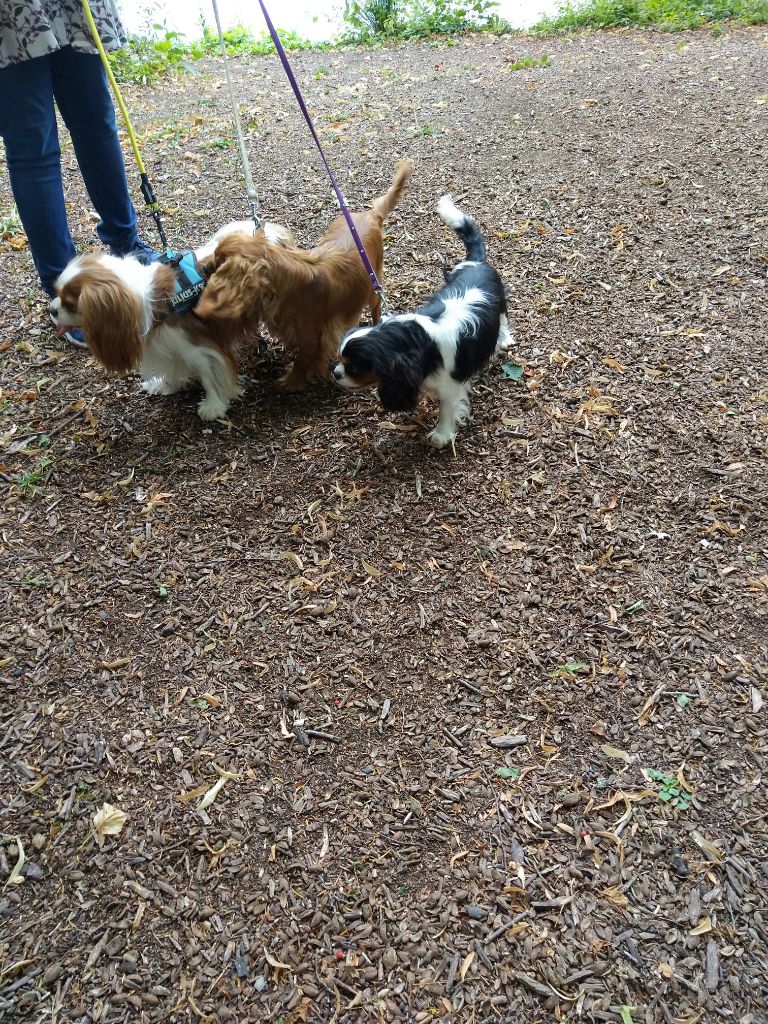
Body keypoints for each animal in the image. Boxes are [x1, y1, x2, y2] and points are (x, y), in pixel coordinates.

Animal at [48, 221, 292, 419]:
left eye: (70, 304)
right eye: (56, 293)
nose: (51, 309)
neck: (153, 301)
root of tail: (268, 234)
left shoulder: (197, 347)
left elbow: (208, 375)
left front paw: (213, 406)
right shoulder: (167, 344)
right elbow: (172, 366)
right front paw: (166, 385)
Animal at [198, 161, 415, 389]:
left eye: (218, 261)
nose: (204, 266)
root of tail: (371, 214)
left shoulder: (312, 336)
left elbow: (302, 361)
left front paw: (291, 383)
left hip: (374, 286)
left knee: (376, 308)